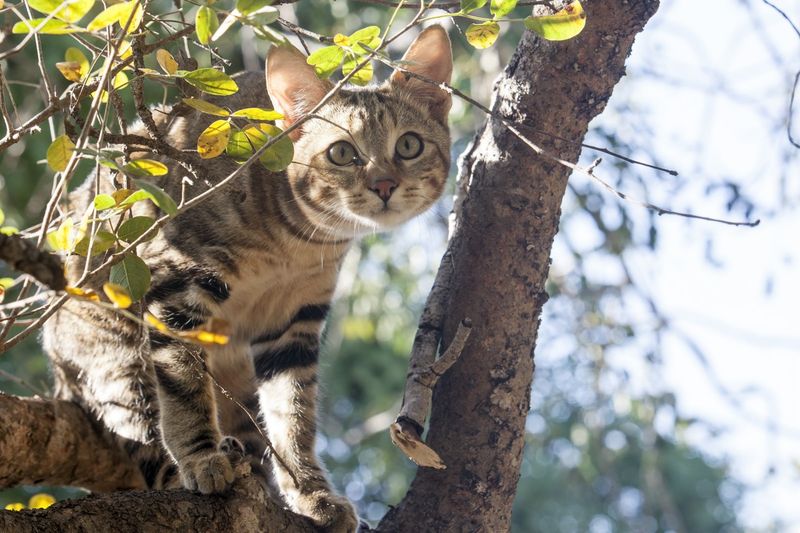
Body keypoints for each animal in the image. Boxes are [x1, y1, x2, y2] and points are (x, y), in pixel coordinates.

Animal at [43, 23, 454, 528]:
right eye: (342, 153)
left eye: (409, 145)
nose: (383, 186)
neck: (299, 243)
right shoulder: (176, 283)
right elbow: (184, 387)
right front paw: (201, 458)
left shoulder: (293, 324)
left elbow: (293, 417)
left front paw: (310, 494)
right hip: (117, 357)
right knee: (141, 427)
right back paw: (184, 471)